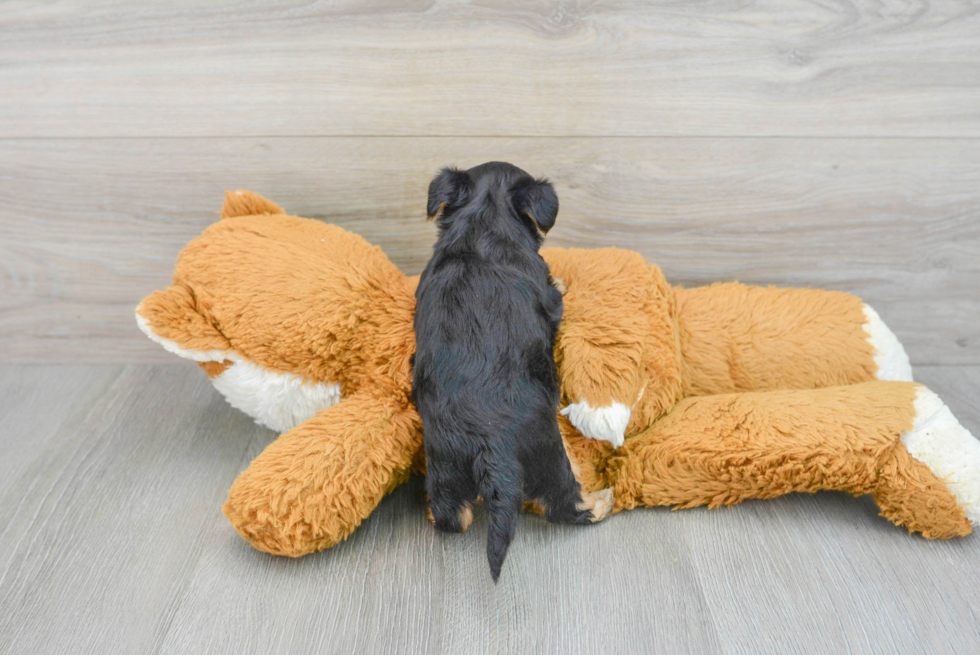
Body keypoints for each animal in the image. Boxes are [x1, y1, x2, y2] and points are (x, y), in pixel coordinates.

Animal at [412, 161, 612, 580]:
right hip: (548, 451)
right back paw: (601, 502)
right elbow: (556, 294)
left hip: (444, 464)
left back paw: (435, 513)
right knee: (565, 505)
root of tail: (491, 445)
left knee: (452, 516)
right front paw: (564, 282)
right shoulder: (547, 295)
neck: (483, 220)